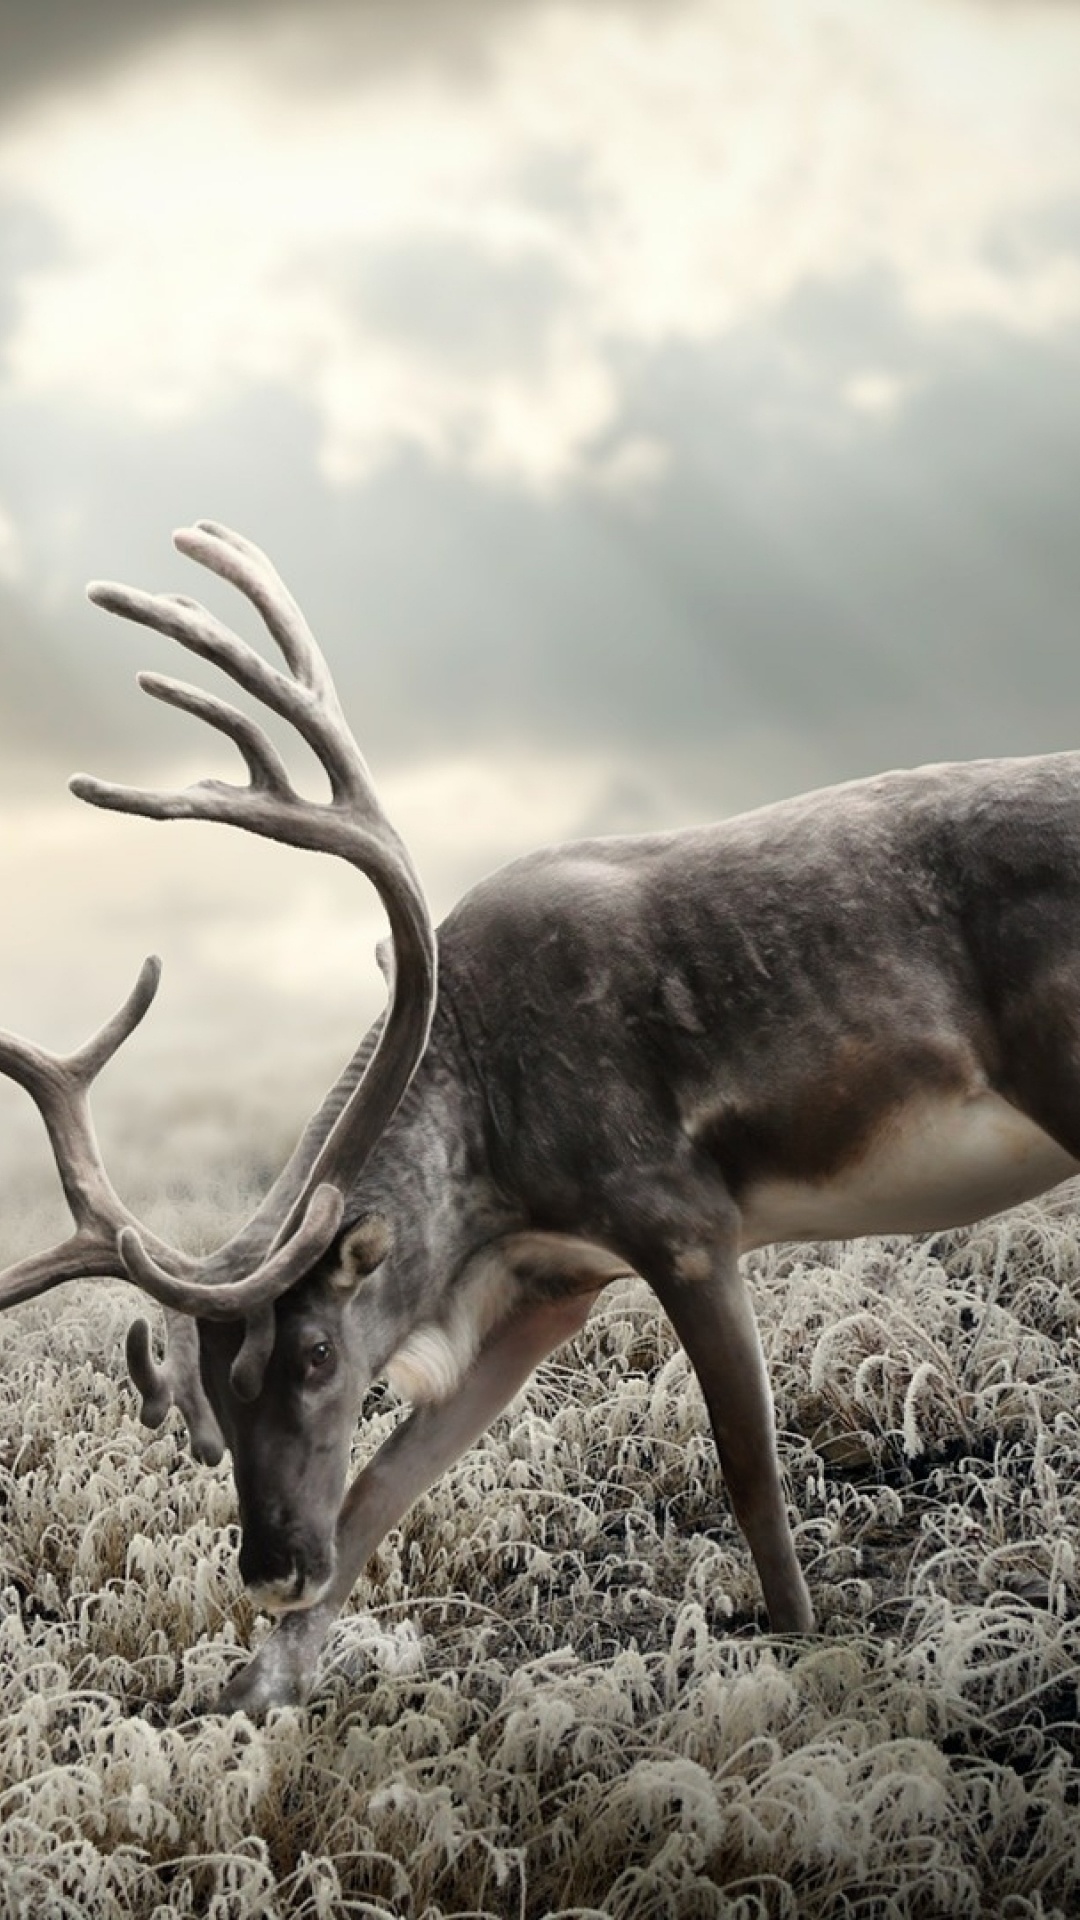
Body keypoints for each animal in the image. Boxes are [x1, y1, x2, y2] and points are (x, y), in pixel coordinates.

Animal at [1, 520, 1077, 1717]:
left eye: (317, 1353)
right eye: (210, 1395)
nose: (273, 1566)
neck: (493, 1157)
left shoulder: (679, 1219)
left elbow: (750, 1475)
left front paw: (804, 1660)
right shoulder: (547, 1286)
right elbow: (380, 1492)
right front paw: (254, 1696)